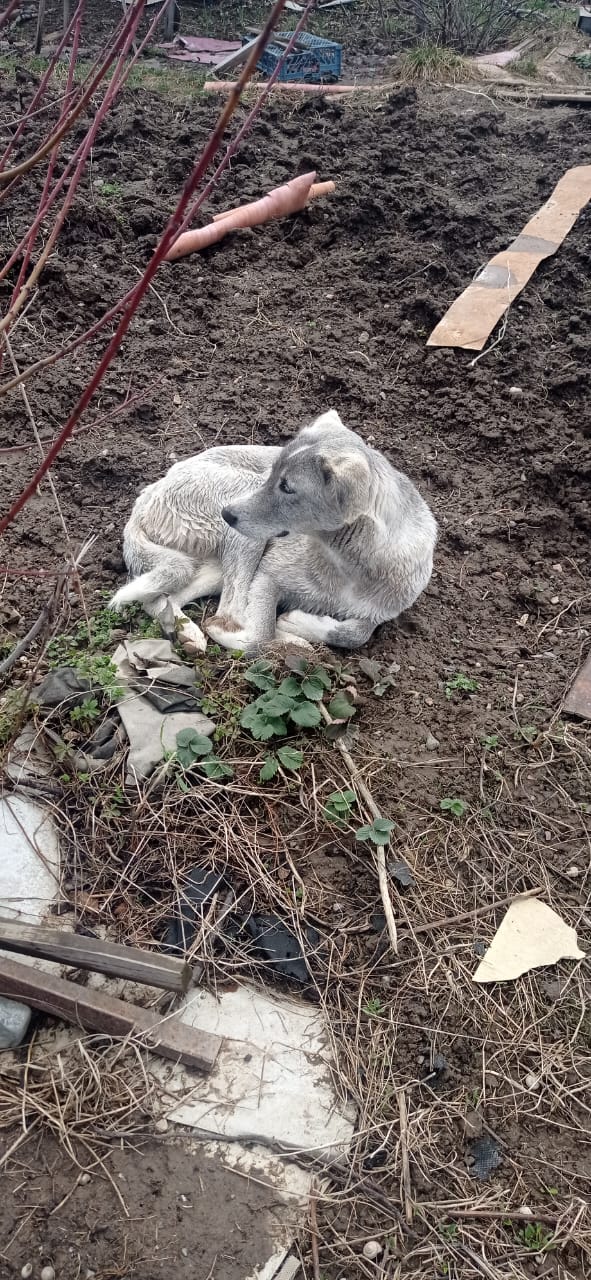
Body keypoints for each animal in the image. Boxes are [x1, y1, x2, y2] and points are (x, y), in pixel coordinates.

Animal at [110, 410, 437, 655]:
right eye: (272, 475)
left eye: (288, 487)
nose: (227, 514)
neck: (348, 566)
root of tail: (147, 495)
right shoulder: (268, 576)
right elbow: (258, 634)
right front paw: (285, 630)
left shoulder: (376, 613)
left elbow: (358, 633)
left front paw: (303, 625)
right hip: (242, 520)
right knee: (226, 612)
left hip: (212, 568)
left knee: (159, 598)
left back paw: (187, 632)